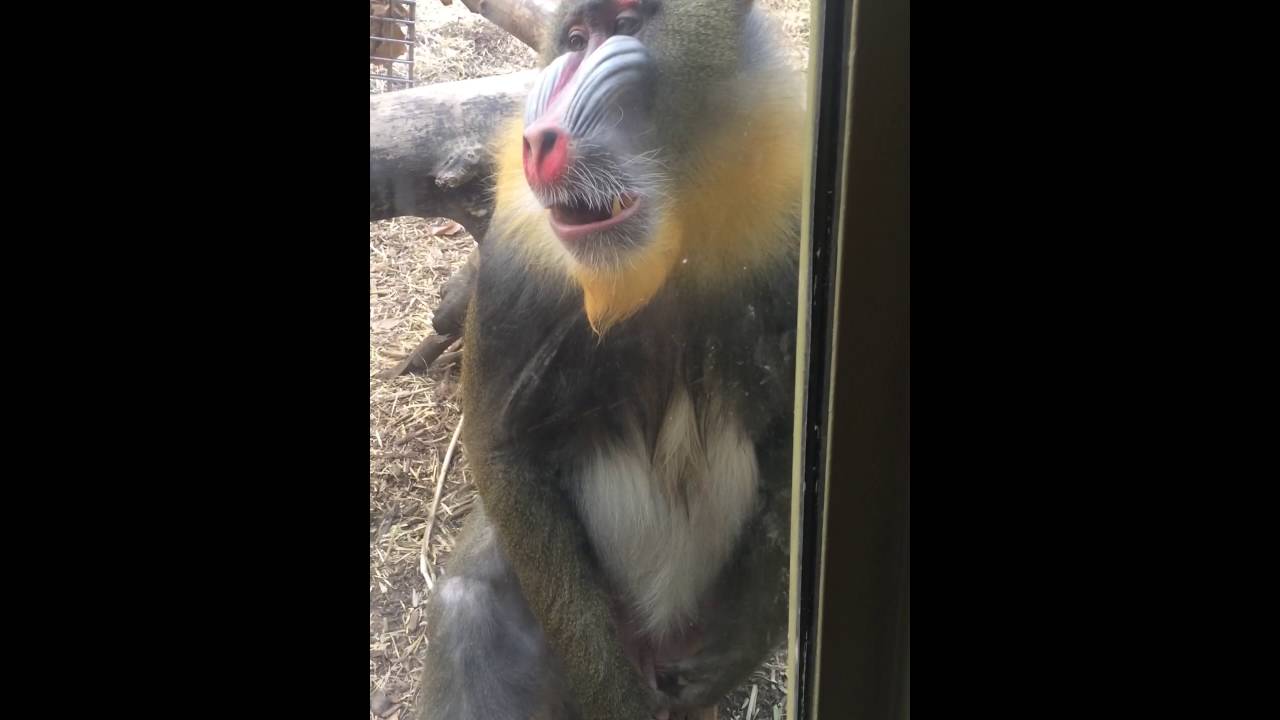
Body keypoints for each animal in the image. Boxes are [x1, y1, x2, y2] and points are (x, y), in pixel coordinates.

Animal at [417, 0, 805, 718]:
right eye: (574, 39)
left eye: (625, 23)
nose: (542, 143)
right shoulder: (514, 263)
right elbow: (502, 446)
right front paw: (616, 697)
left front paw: (736, 652)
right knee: (470, 607)